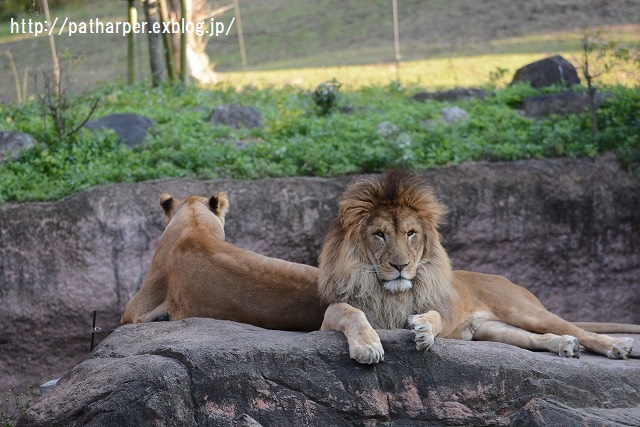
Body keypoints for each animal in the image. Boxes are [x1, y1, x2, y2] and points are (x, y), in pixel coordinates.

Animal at [320, 171, 640, 364]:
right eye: (380, 235)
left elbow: (435, 316)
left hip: (523, 311)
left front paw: (423, 330)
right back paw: (565, 345)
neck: (390, 293)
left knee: (578, 330)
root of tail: (508, 280)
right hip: (492, 330)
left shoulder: (440, 311)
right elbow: (350, 312)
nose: (401, 265)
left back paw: (618, 346)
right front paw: (368, 346)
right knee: (537, 338)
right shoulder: (330, 315)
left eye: (411, 233)